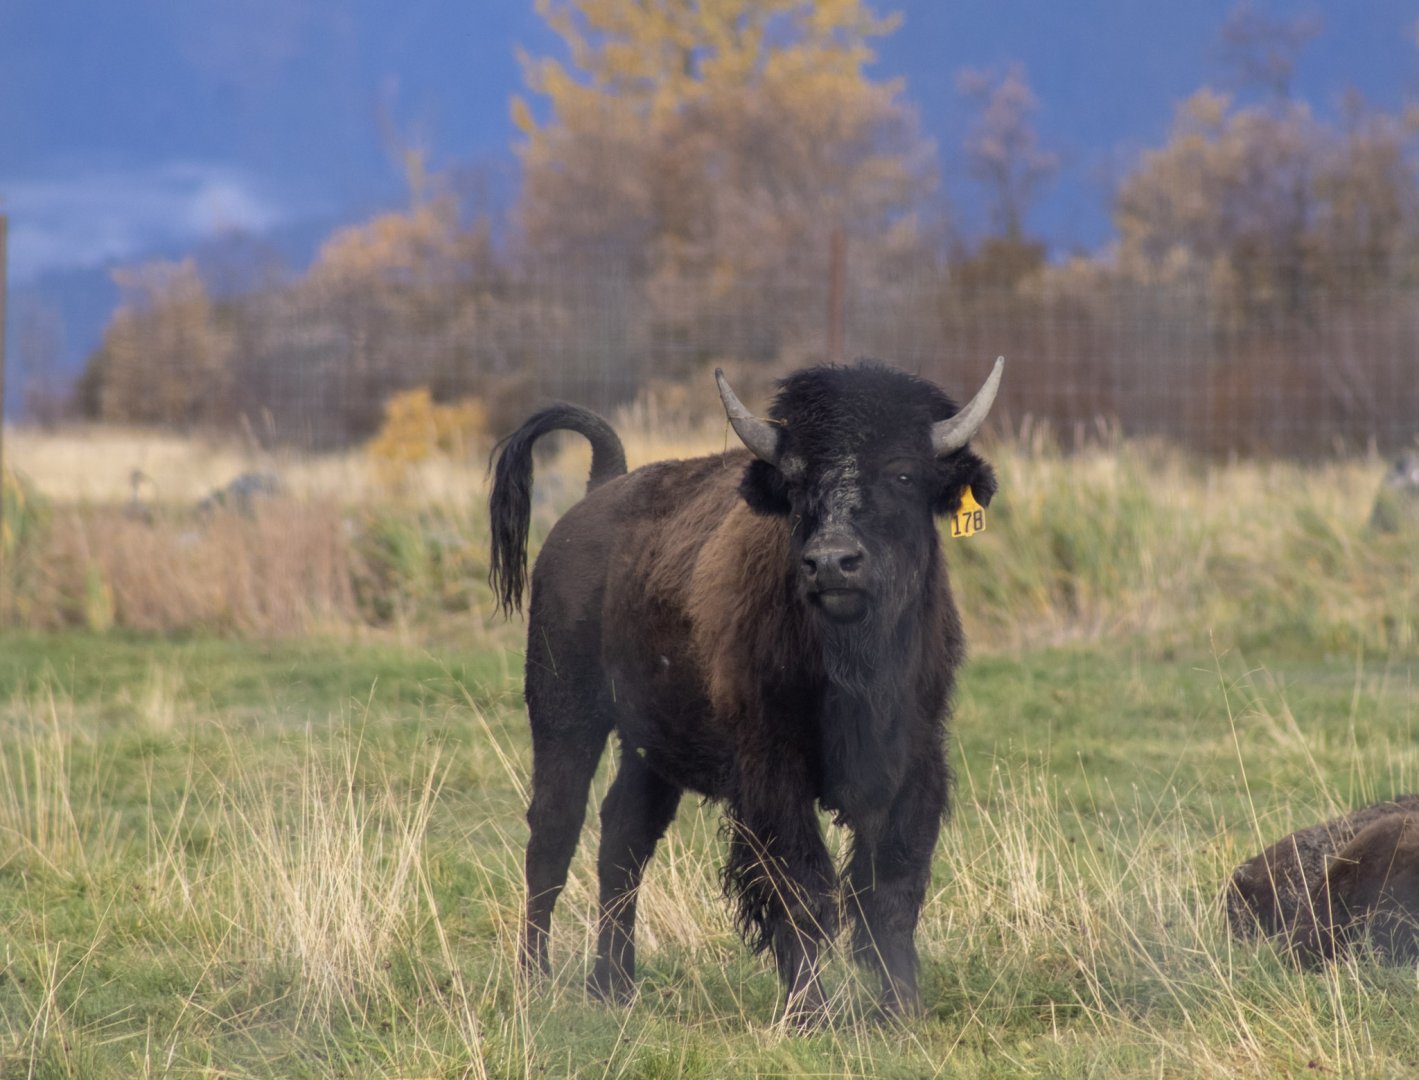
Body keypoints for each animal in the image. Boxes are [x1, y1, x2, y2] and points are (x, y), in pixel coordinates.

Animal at [488, 359, 1002, 1022]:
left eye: (904, 473)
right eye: (796, 481)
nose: (832, 563)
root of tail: (604, 488)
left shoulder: (915, 759)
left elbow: (893, 884)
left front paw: (902, 1010)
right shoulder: (772, 772)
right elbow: (799, 884)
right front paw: (812, 1013)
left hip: (649, 748)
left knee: (622, 840)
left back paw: (614, 987)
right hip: (563, 714)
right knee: (553, 835)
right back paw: (536, 982)